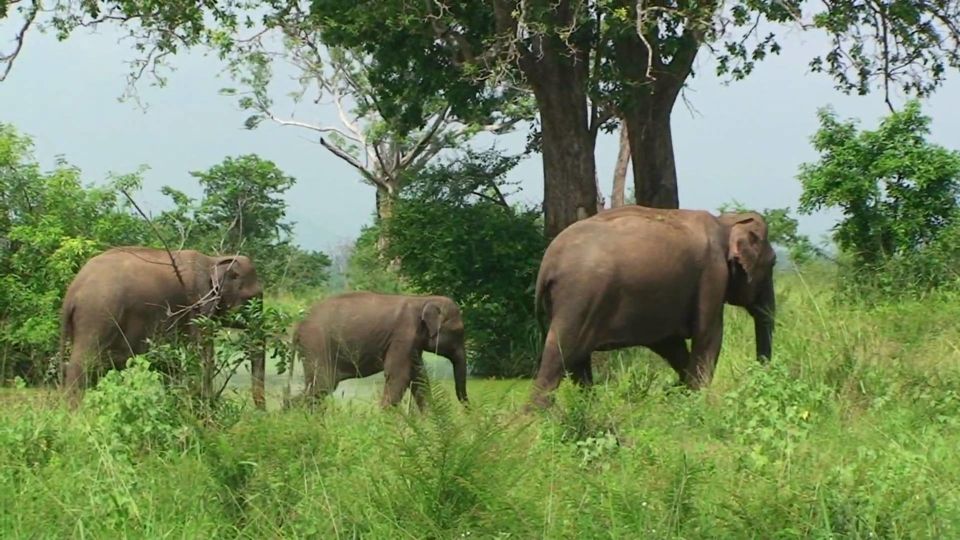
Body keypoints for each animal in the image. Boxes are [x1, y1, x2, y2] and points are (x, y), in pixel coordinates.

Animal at [60, 247, 264, 408]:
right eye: (251, 299)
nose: (261, 414)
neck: (214, 259)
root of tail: (72, 293)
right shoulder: (199, 303)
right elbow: (202, 353)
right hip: (97, 315)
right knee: (84, 362)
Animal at [294, 292, 470, 410]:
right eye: (459, 331)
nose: (467, 409)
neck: (422, 299)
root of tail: (299, 324)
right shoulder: (403, 336)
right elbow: (399, 376)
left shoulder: (413, 343)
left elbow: (419, 377)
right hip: (316, 344)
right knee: (322, 386)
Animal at [528, 205, 776, 408]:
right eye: (773, 263)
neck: (726, 221)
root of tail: (547, 264)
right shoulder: (712, 275)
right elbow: (708, 337)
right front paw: (699, 404)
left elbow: (670, 344)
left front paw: (682, 394)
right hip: (580, 298)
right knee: (559, 355)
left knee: (576, 363)